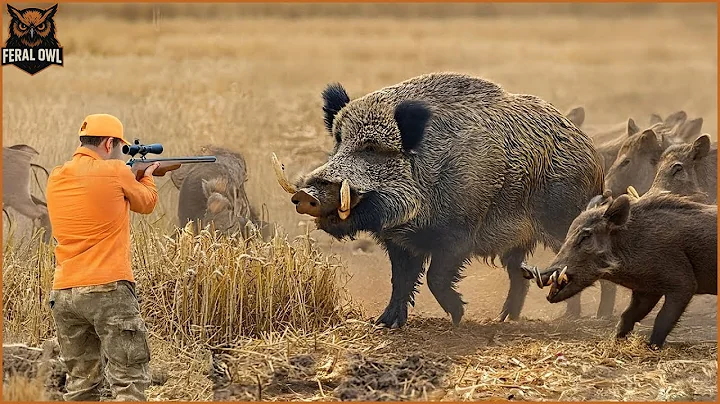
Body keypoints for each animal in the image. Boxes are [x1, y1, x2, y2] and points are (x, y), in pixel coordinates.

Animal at [272, 72, 607, 327]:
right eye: (339, 142)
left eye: (372, 148)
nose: (306, 194)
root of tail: (589, 148)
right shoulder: (399, 242)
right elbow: (400, 281)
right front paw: (384, 324)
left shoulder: (459, 234)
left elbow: (435, 277)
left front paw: (458, 316)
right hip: (518, 242)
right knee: (518, 273)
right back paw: (508, 319)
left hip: (564, 219)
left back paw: (591, 319)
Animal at [523, 193, 717, 350]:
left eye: (585, 236)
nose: (528, 271)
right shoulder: (646, 290)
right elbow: (628, 316)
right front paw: (616, 340)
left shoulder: (683, 284)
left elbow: (663, 319)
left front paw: (651, 347)